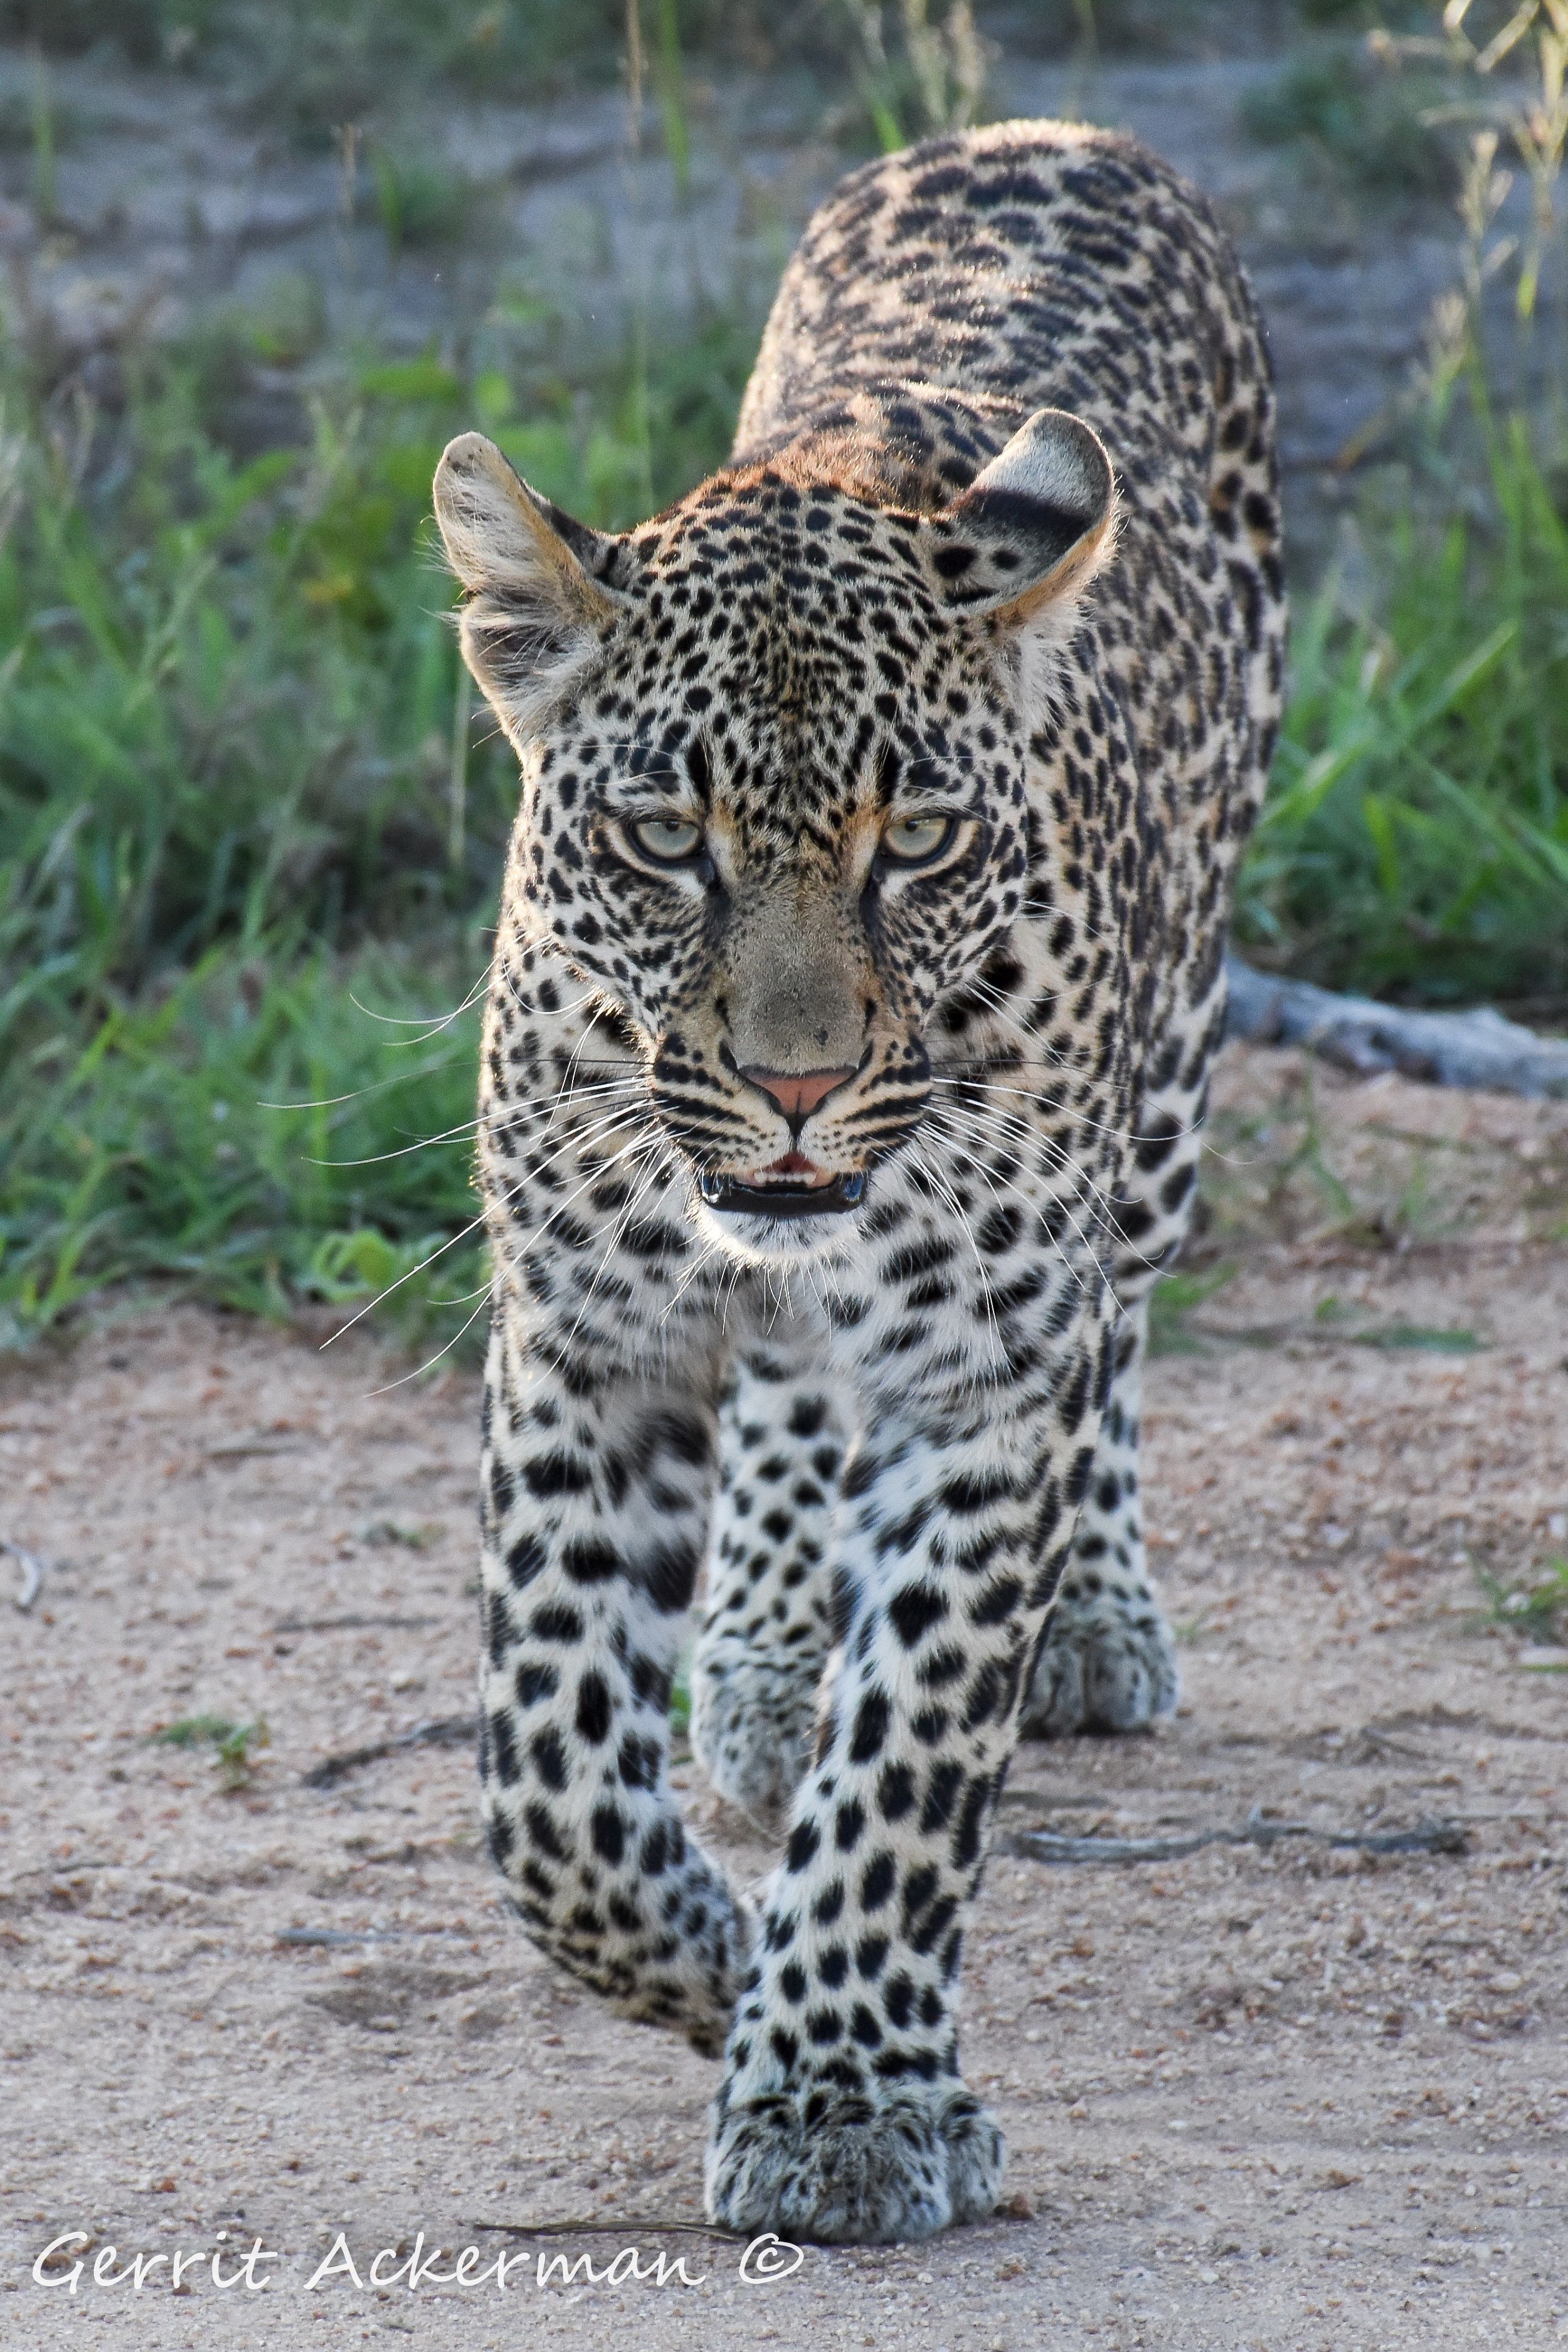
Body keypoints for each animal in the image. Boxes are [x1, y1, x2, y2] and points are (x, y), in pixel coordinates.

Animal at [431, 117, 1284, 2246]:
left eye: (919, 840)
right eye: (665, 839)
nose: (799, 1083)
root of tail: (1051, 129)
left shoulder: (982, 1375)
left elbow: (907, 1765)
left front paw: (834, 2088)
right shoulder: (586, 1334)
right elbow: (546, 1772)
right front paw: (710, 1957)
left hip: (1167, 1077)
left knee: (1112, 1330)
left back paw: (1090, 1616)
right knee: (792, 1402)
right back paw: (753, 1657)